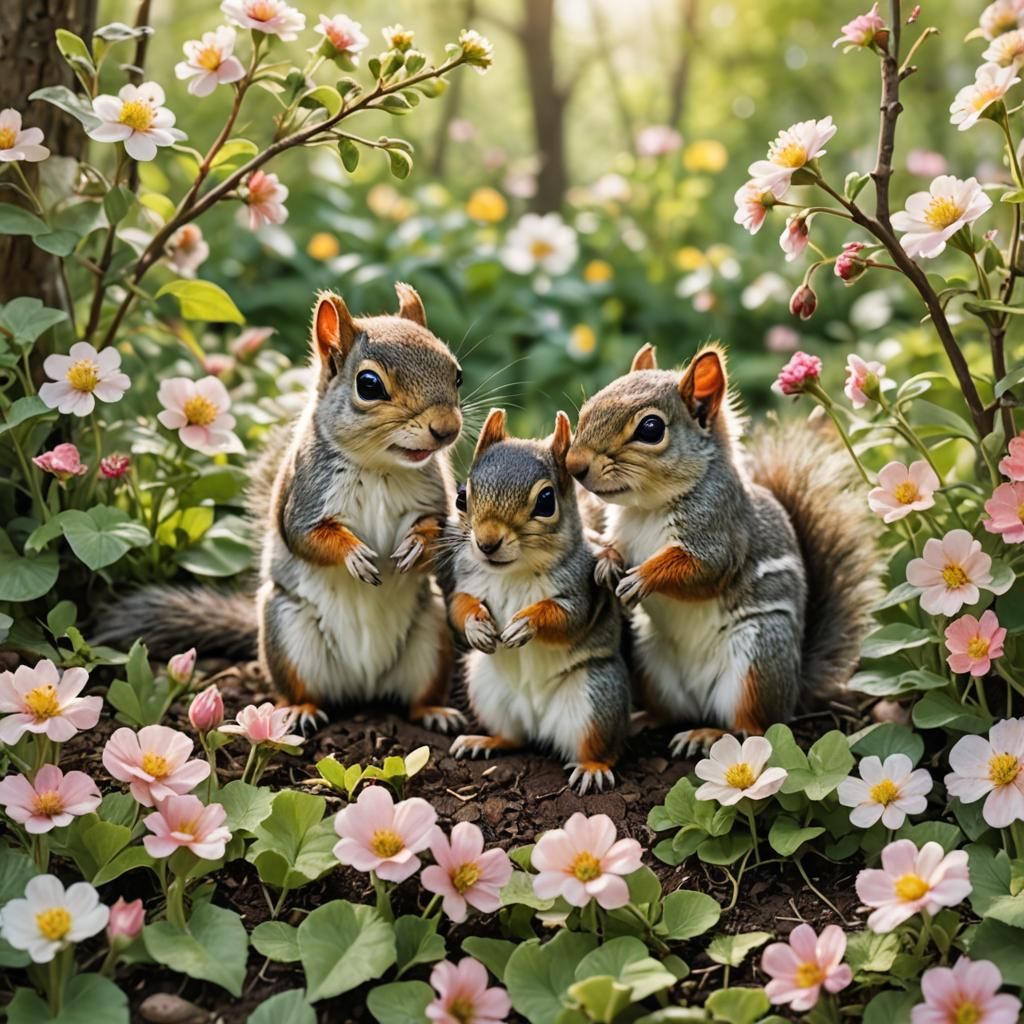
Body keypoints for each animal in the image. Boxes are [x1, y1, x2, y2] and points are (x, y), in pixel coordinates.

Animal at [98, 284, 466, 731]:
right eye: (369, 385)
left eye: (457, 374)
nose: (446, 429)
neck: (381, 468)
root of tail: (364, 685)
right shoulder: (305, 500)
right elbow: (307, 538)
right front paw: (354, 555)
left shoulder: (435, 499)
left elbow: (437, 530)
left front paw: (415, 545)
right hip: (288, 635)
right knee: (300, 688)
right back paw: (299, 711)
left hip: (432, 637)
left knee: (419, 694)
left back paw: (434, 711)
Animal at [442, 408, 632, 794]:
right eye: (461, 497)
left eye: (546, 502)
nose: (486, 542)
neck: (513, 572)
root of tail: (539, 720)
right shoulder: (466, 579)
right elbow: (458, 606)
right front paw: (477, 626)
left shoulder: (579, 588)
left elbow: (566, 618)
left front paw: (525, 623)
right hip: (487, 689)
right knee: (513, 737)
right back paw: (484, 741)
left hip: (596, 697)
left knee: (602, 746)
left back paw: (592, 768)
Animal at [564, 343, 876, 756]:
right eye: (587, 409)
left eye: (650, 429)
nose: (573, 465)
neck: (647, 508)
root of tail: (793, 692)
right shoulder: (620, 529)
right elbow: (615, 547)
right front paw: (606, 563)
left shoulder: (721, 534)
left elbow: (702, 572)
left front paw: (643, 577)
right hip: (651, 663)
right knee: (675, 712)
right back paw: (644, 720)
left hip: (757, 662)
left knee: (753, 727)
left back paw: (708, 734)